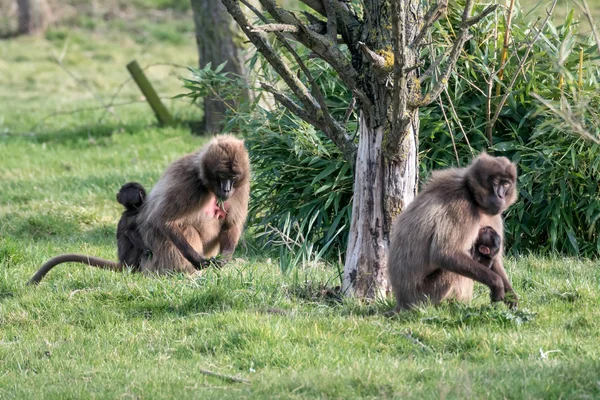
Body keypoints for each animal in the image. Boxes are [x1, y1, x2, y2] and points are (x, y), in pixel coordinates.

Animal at [386, 152, 516, 310]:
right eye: (496, 183)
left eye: (506, 184)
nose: (501, 196)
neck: (472, 196)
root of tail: (402, 300)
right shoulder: (462, 207)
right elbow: (445, 254)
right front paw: (497, 284)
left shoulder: (495, 216)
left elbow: (494, 259)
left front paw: (511, 298)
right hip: (422, 296)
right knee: (452, 269)